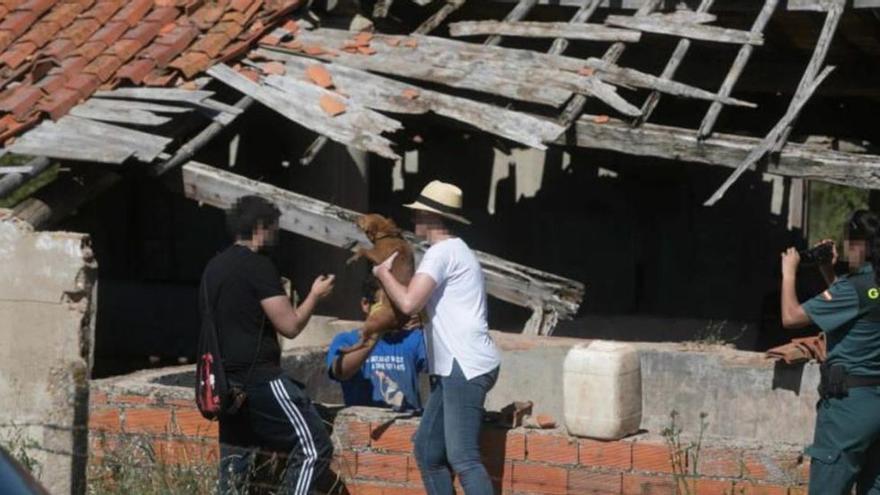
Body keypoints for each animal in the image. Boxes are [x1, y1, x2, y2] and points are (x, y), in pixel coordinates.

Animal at [344, 213, 416, 352]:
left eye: (364, 218)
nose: (356, 217)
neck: (386, 234)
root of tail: (398, 323)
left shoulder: (377, 256)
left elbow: (362, 250)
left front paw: (352, 258)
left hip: (373, 319)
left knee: (364, 341)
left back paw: (347, 347)